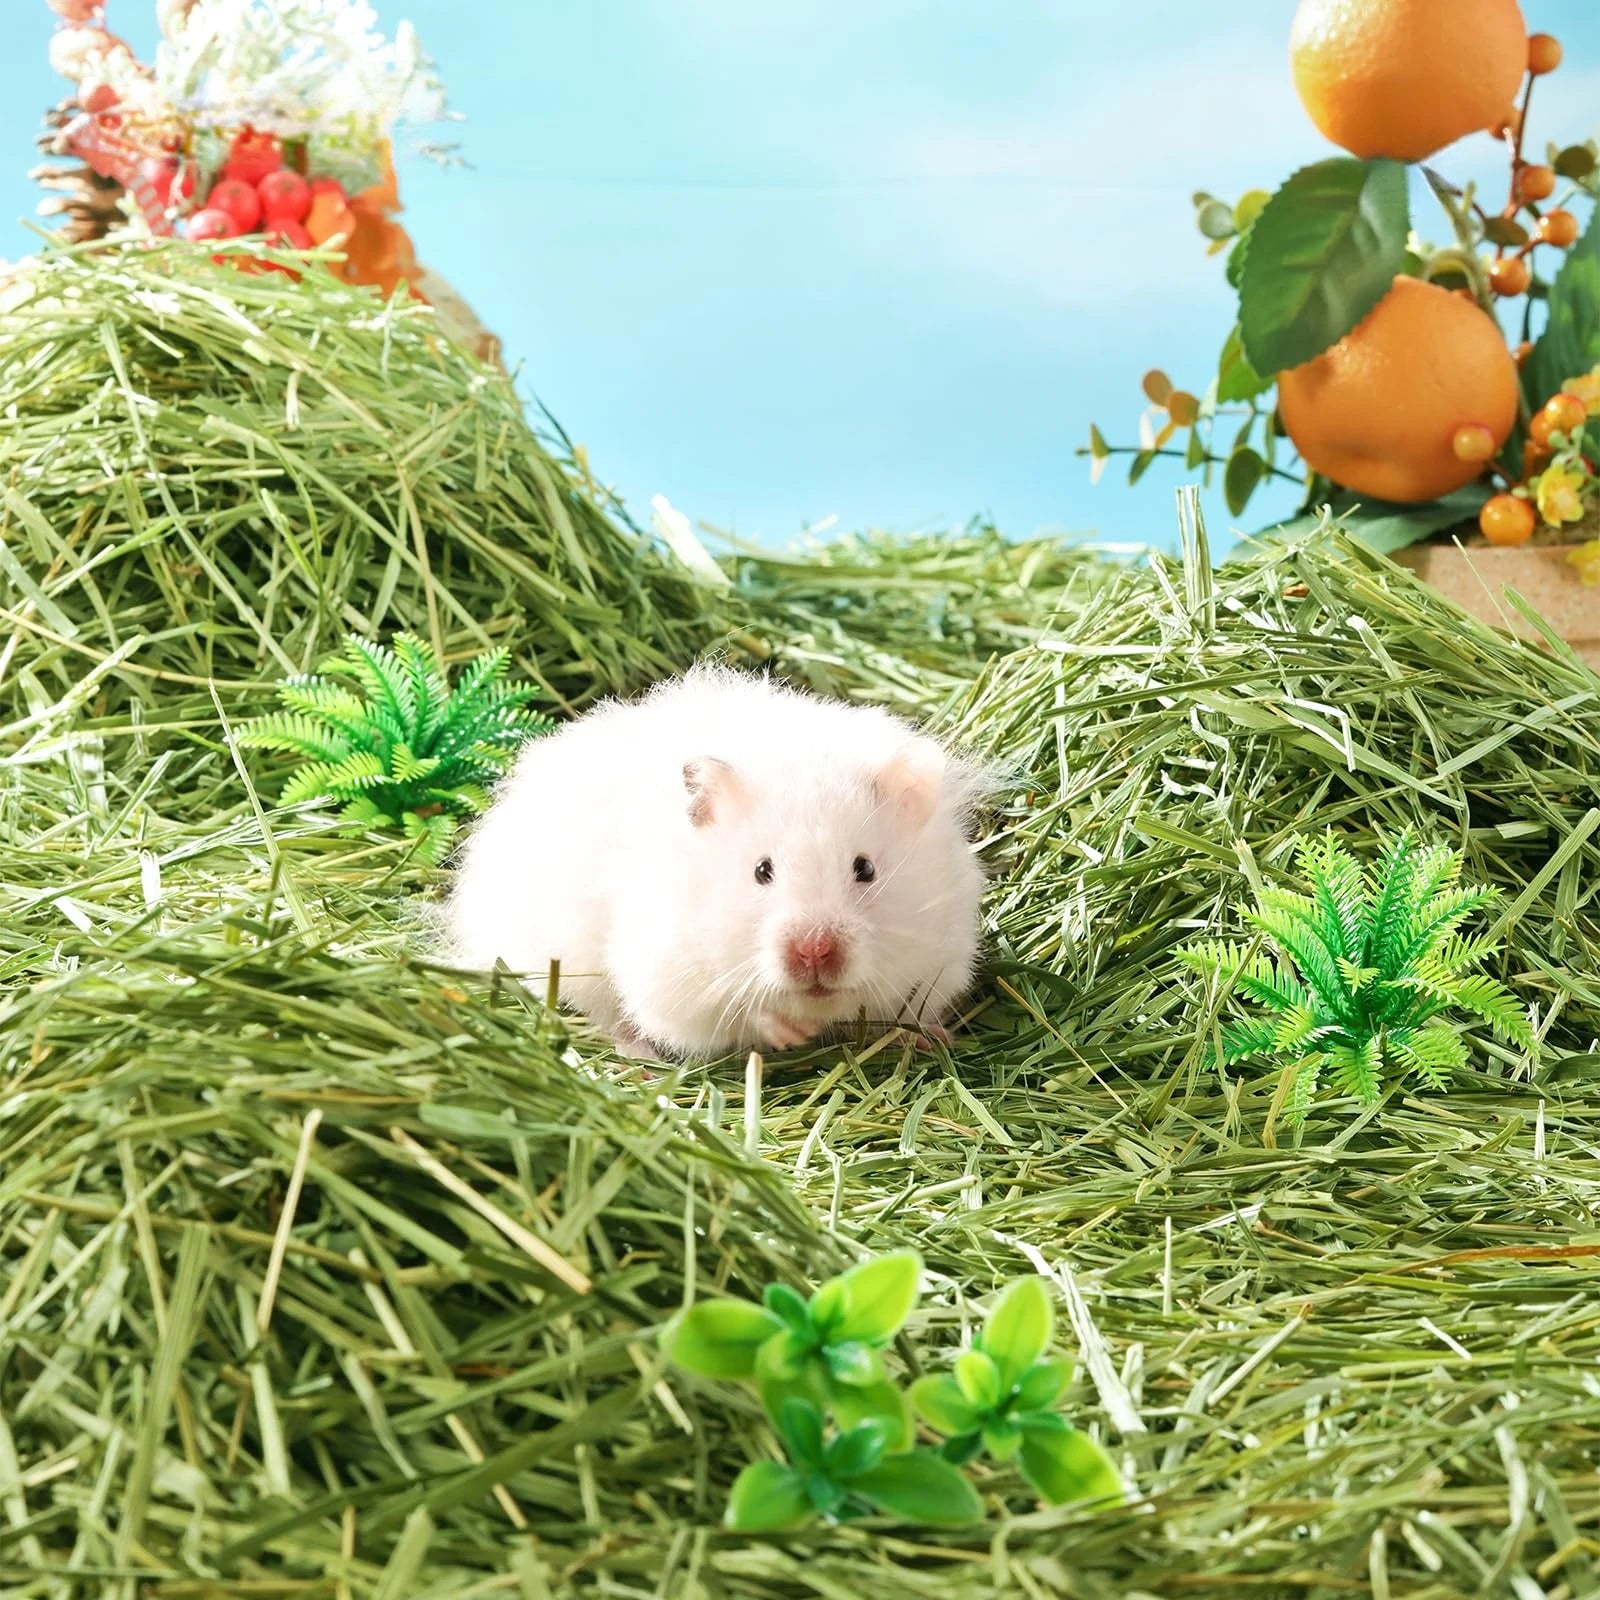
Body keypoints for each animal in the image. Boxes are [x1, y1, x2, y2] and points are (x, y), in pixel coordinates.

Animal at [442, 663, 991, 1058]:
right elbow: (732, 1009)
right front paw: (790, 1034)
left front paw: (930, 1037)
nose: (814, 952)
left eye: (866, 869)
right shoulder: (670, 975)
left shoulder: (941, 958)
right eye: (761, 871)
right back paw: (642, 1059)